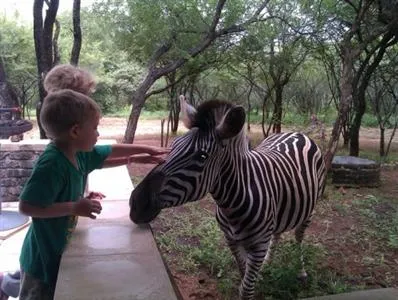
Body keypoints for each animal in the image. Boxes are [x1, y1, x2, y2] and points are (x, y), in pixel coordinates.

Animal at [130, 96, 326, 300]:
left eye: (202, 156)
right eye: (173, 146)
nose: (135, 203)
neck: (232, 205)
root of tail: (296, 133)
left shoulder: (258, 246)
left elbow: (246, 289)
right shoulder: (231, 239)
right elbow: (243, 273)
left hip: (310, 209)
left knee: (298, 236)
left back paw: (301, 271)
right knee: (278, 234)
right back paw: (267, 264)